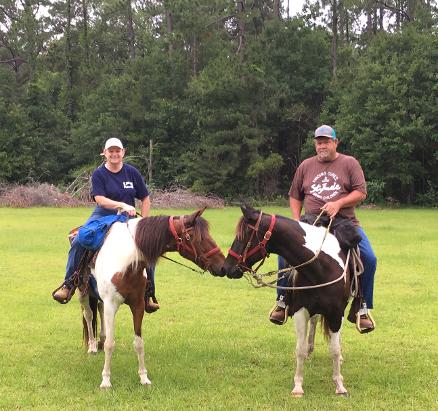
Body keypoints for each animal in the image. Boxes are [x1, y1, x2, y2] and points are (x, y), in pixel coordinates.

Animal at [77, 209, 224, 390]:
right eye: (197, 237)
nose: (222, 265)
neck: (127, 263)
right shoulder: (112, 304)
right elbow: (110, 344)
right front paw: (105, 381)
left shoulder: (138, 305)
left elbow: (139, 343)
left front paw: (143, 378)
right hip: (83, 292)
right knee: (89, 315)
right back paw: (92, 346)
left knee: (99, 308)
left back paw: (100, 339)